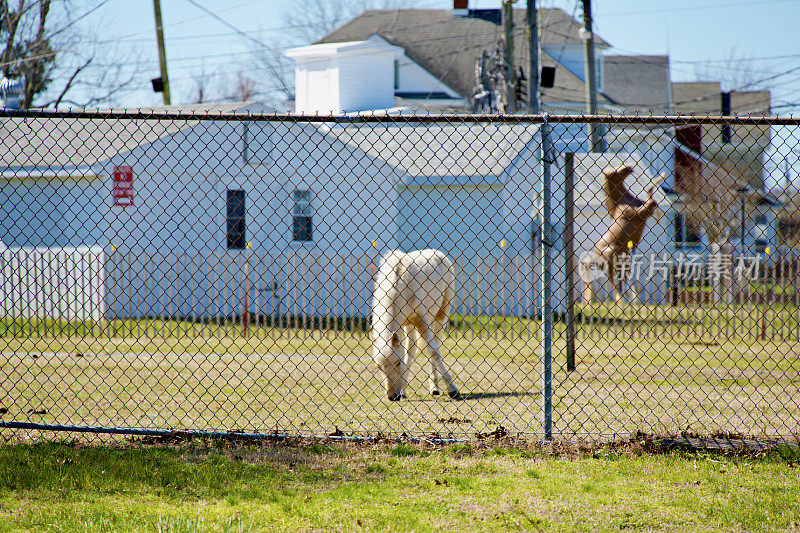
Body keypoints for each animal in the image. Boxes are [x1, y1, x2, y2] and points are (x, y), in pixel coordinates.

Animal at [370, 248, 460, 400]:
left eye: (398, 362)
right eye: (378, 367)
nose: (392, 396)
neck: (399, 286)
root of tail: (437, 253)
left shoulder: (421, 319)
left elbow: (433, 352)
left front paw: (452, 390)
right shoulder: (404, 323)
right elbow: (408, 352)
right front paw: (402, 390)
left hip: (441, 314)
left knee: (435, 342)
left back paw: (434, 388)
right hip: (409, 325)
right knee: (411, 349)